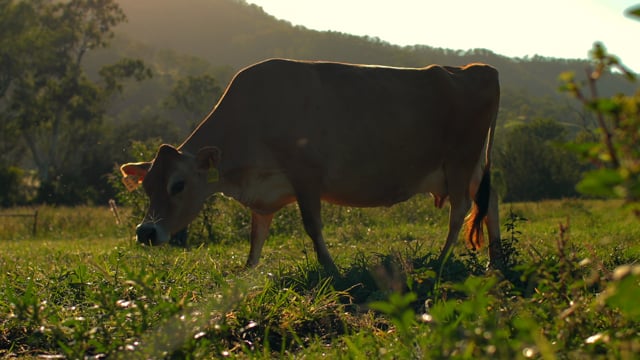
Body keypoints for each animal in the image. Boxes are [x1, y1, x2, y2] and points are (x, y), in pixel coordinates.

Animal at [119, 58, 500, 272]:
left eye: (178, 185)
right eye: (147, 187)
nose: (146, 232)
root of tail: (477, 70)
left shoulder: (306, 175)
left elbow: (312, 225)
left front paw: (330, 269)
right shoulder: (264, 194)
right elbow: (256, 236)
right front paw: (246, 272)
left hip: (460, 161)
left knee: (460, 211)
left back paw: (441, 261)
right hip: (473, 167)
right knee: (490, 202)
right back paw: (495, 259)